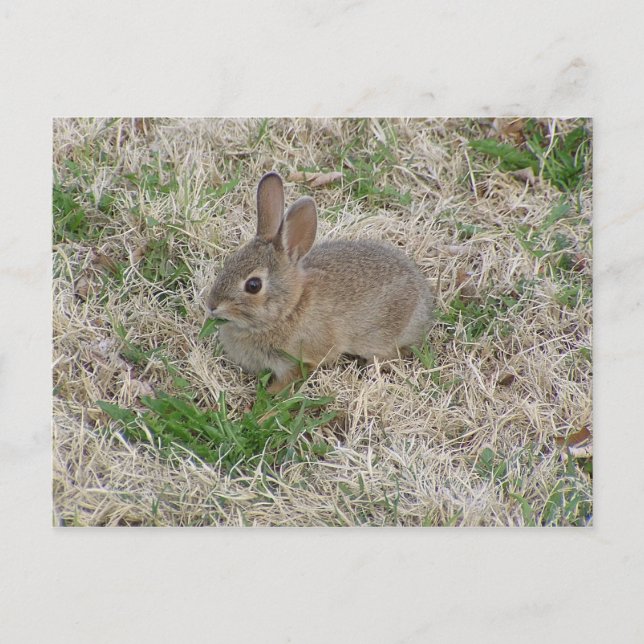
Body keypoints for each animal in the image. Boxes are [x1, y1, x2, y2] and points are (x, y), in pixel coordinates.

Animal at [205, 172, 433, 393]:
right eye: (230, 261)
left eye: (253, 285)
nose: (212, 306)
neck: (289, 309)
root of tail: (425, 303)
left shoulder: (300, 359)